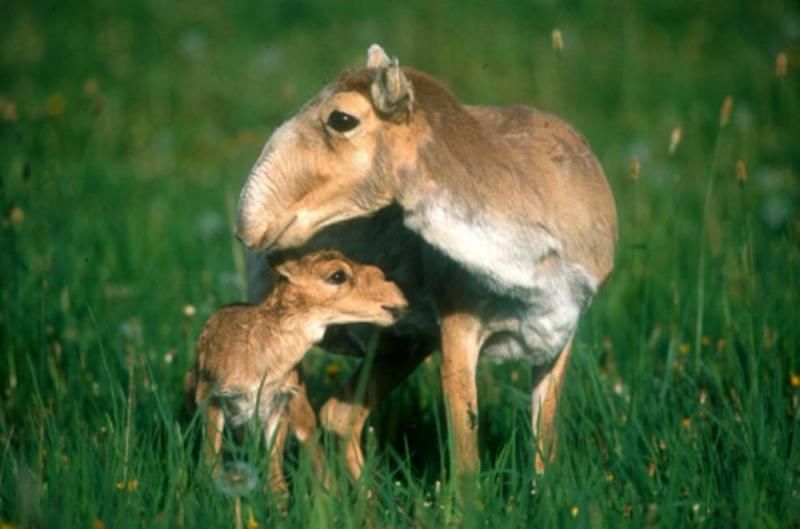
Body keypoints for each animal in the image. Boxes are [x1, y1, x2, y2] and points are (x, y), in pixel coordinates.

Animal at [236, 43, 620, 476]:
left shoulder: (558, 337)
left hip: (401, 345)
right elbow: (466, 461)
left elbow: (545, 450)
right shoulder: (458, 334)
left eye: (341, 118)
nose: (251, 222)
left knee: (338, 414)